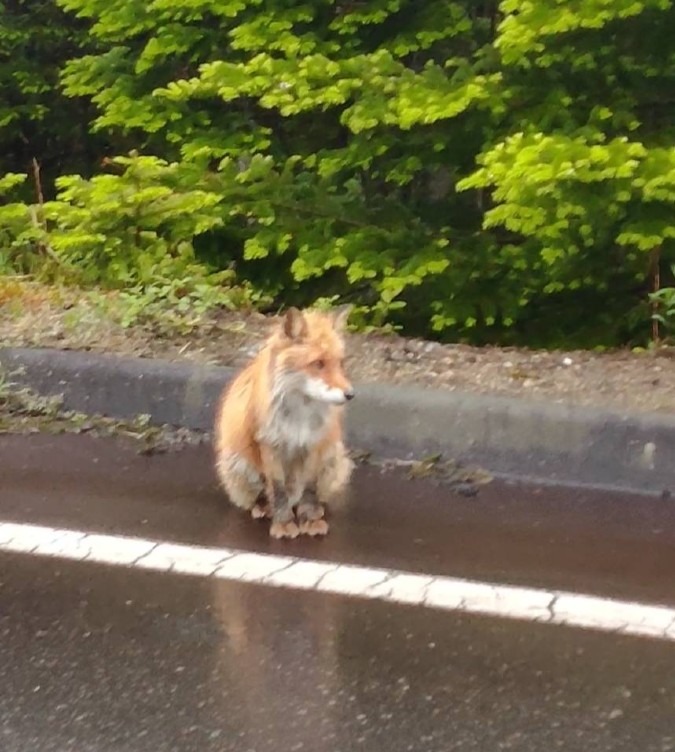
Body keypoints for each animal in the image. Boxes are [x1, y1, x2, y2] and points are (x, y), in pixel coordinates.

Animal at [214, 306, 356, 540]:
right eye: (318, 363)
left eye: (340, 363)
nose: (350, 394)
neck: (299, 416)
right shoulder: (270, 444)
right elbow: (278, 490)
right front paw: (283, 523)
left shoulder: (314, 444)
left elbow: (309, 489)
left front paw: (310, 520)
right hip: (239, 463)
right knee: (262, 495)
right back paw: (265, 508)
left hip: (332, 456)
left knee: (310, 495)